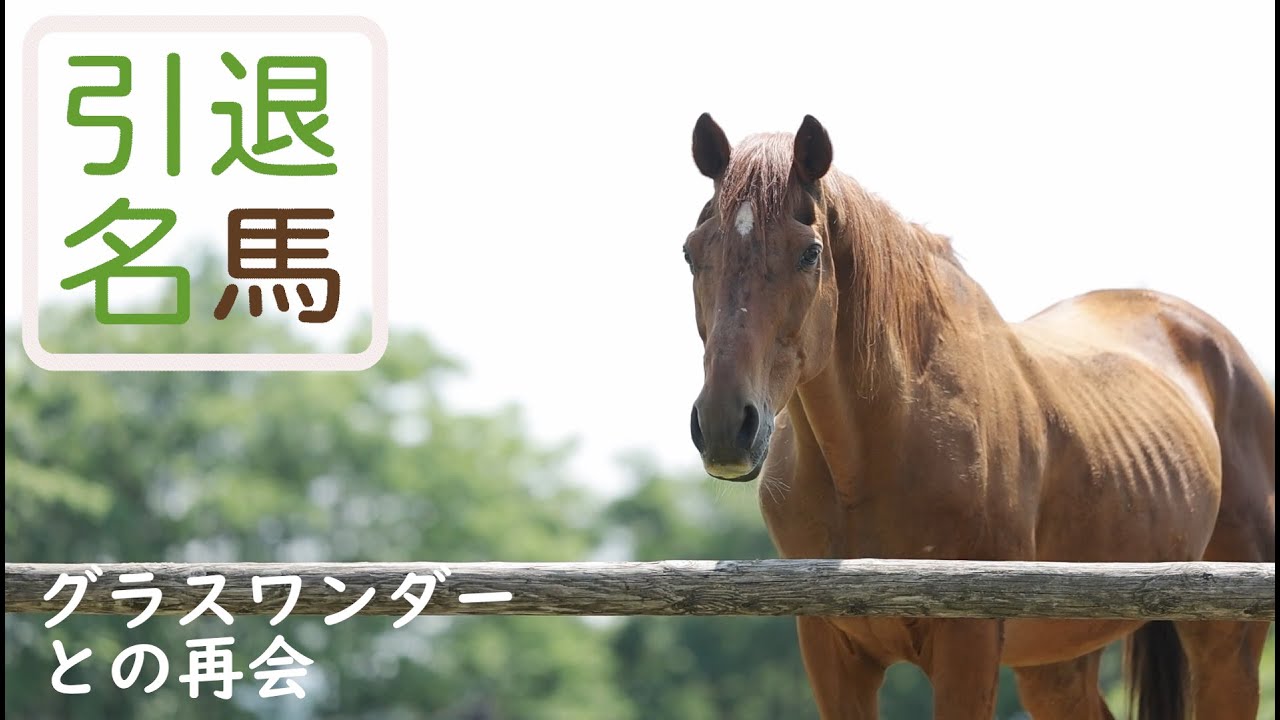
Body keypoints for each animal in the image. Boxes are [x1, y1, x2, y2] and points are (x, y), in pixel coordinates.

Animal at [681, 113, 1275, 720]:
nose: (726, 426)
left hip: (1226, 651)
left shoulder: (969, 642)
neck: (868, 463)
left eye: (810, 252)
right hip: (1057, 666)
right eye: (690, 252)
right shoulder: (830, 649)